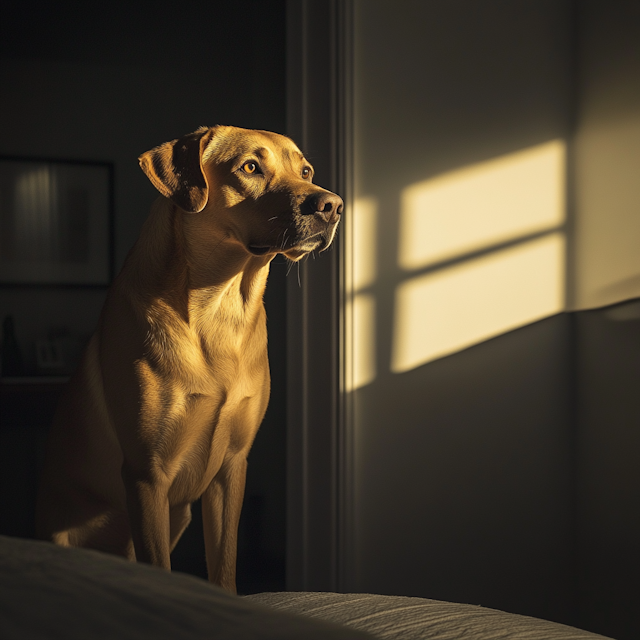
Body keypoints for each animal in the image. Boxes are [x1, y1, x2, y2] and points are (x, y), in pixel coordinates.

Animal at [34, 126, 342, 596]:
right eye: (251, 167)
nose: (333, 206)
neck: (220, 310)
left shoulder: (231, 468)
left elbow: (225, 565)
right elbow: (159, 568)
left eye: (305, 171)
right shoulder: (147, 476)